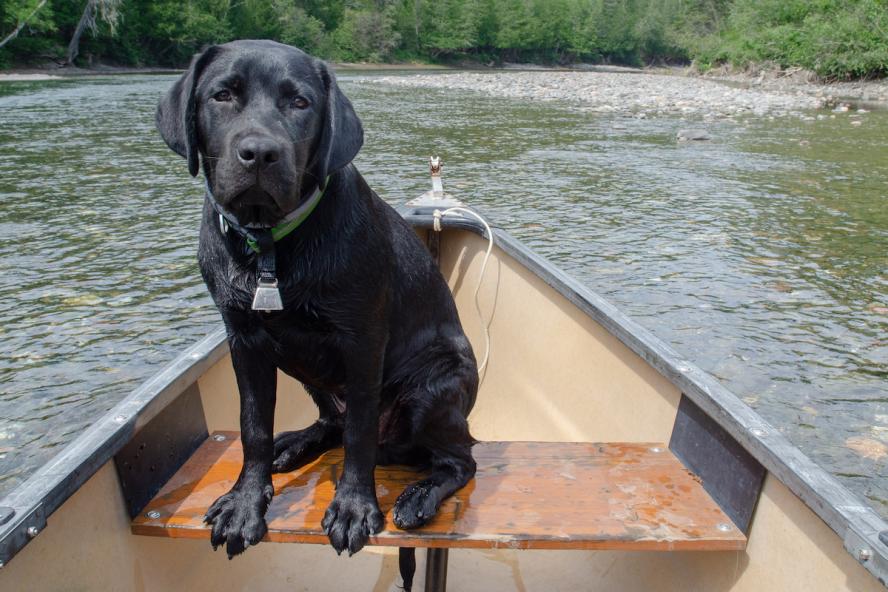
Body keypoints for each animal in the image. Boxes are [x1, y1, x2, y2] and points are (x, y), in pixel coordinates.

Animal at [157, 39, 482, 568]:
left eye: (300, 102)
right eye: (222, 94)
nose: (260, 153)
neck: (271, 248)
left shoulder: (363, 341)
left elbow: (359, 434)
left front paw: (353, 508)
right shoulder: (244, 341)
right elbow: (253, 427)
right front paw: (246, 503)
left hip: (433, 385)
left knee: (459, 459)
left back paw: (418, 496)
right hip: (304, 370)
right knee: (332, 421)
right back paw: (294, 445)